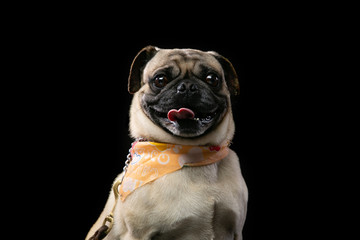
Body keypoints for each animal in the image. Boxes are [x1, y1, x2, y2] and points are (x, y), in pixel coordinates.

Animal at [87, 46, 248, 239]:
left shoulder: (236, 231)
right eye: (160, 80)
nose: (187, 87)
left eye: (212, 79)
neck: (189, 152)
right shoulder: (137, 235)